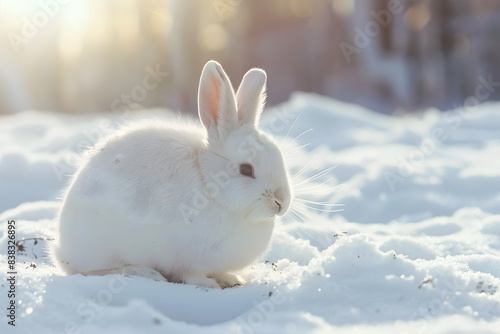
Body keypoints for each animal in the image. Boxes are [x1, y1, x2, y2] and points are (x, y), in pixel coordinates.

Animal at [52, 61, 292, 288]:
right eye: (246, 169)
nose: (282, 202)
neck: (209, 184)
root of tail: (62, 251)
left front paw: (231, 278)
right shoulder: (186, 258)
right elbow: (190, 275)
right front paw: (208, 284)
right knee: (94, 271)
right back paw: (144, 273)